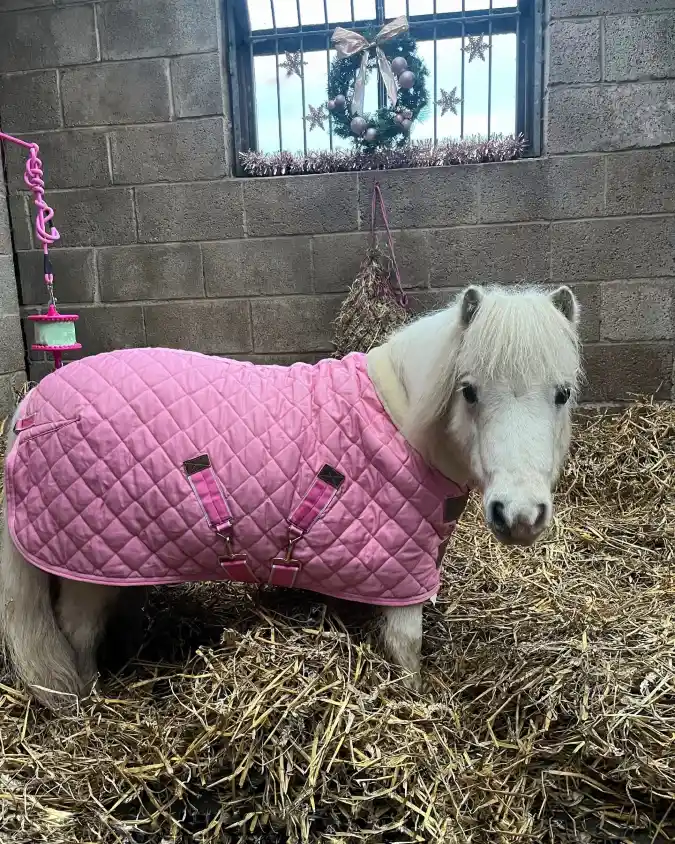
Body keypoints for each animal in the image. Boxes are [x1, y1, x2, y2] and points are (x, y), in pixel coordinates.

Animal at [0, 284, 582, 709]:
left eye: (562, 393)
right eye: (469, 391)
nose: (520, 515)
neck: (401, 430)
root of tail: (32, 408)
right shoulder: (403, 576)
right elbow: (407, 649)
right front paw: (413, 703)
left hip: (121, 562)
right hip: (83, 569)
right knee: (76, 634)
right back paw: (85, 703)